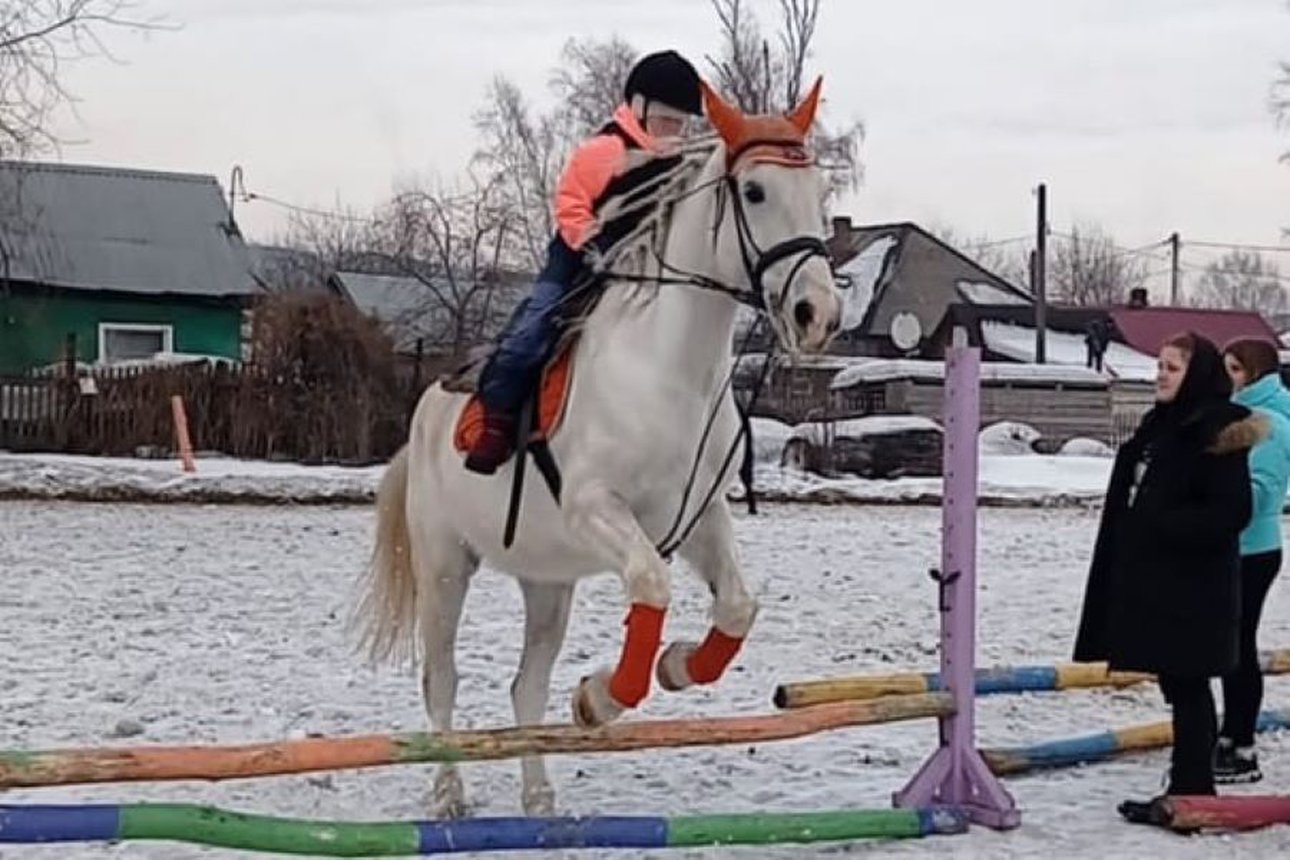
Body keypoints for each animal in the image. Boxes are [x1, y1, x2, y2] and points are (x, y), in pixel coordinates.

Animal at [358, 78, 846, 814]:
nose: (817, 315)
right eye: (755, 191)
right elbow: (650, 584)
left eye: (818, 187)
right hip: (445, 566)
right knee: (440, 679)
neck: (671, 371)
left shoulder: (700, 517)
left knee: (525, 686)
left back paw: (538, 798)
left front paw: (672, 667)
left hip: (547, 581)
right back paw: (449, 793)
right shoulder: (596, 508)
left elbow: (736, 607)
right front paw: (598, 697)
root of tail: (423, 423)